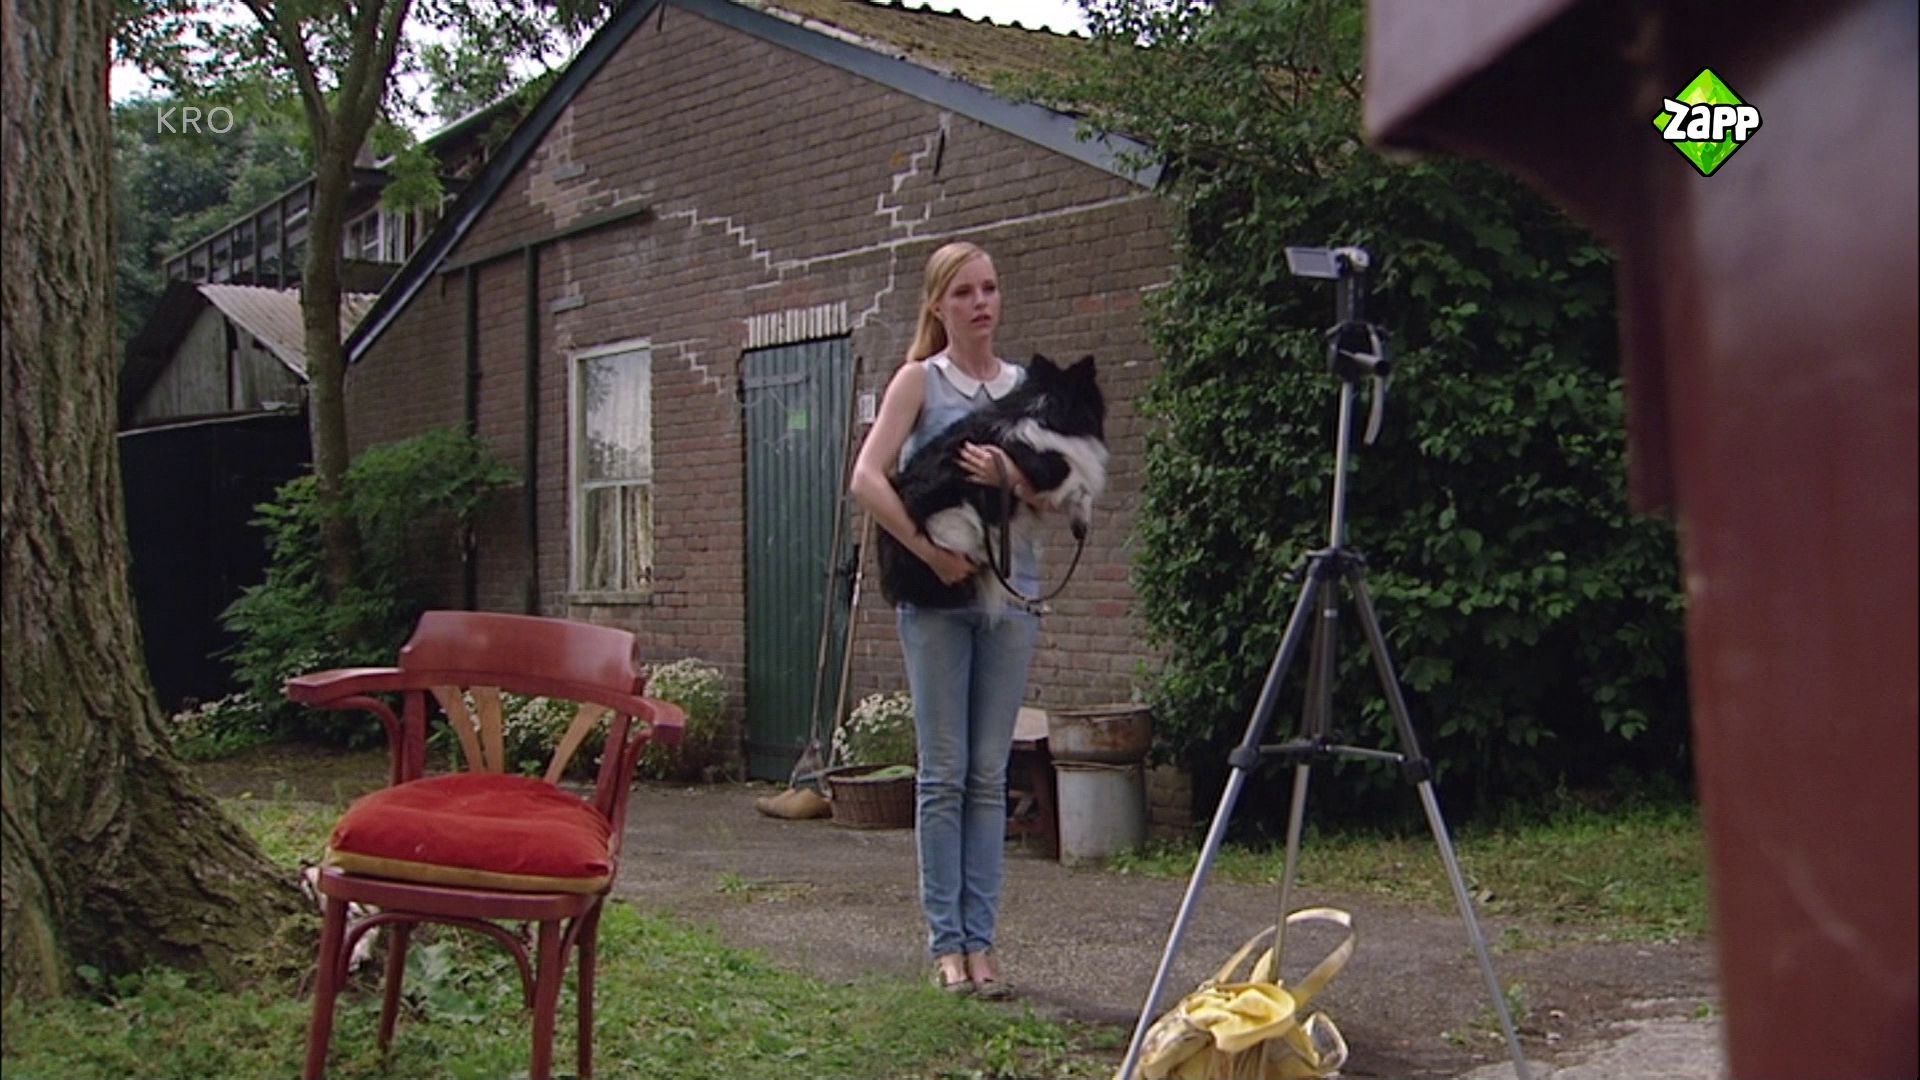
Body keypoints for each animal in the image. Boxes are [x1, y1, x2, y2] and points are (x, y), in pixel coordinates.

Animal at [877, 354, 1108, 617]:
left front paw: (1080, 520)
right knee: (978, 561)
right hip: (956, 517)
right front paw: (1082, 512)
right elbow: (1079, 481)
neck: (1044, 409)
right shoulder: (1053, 472)